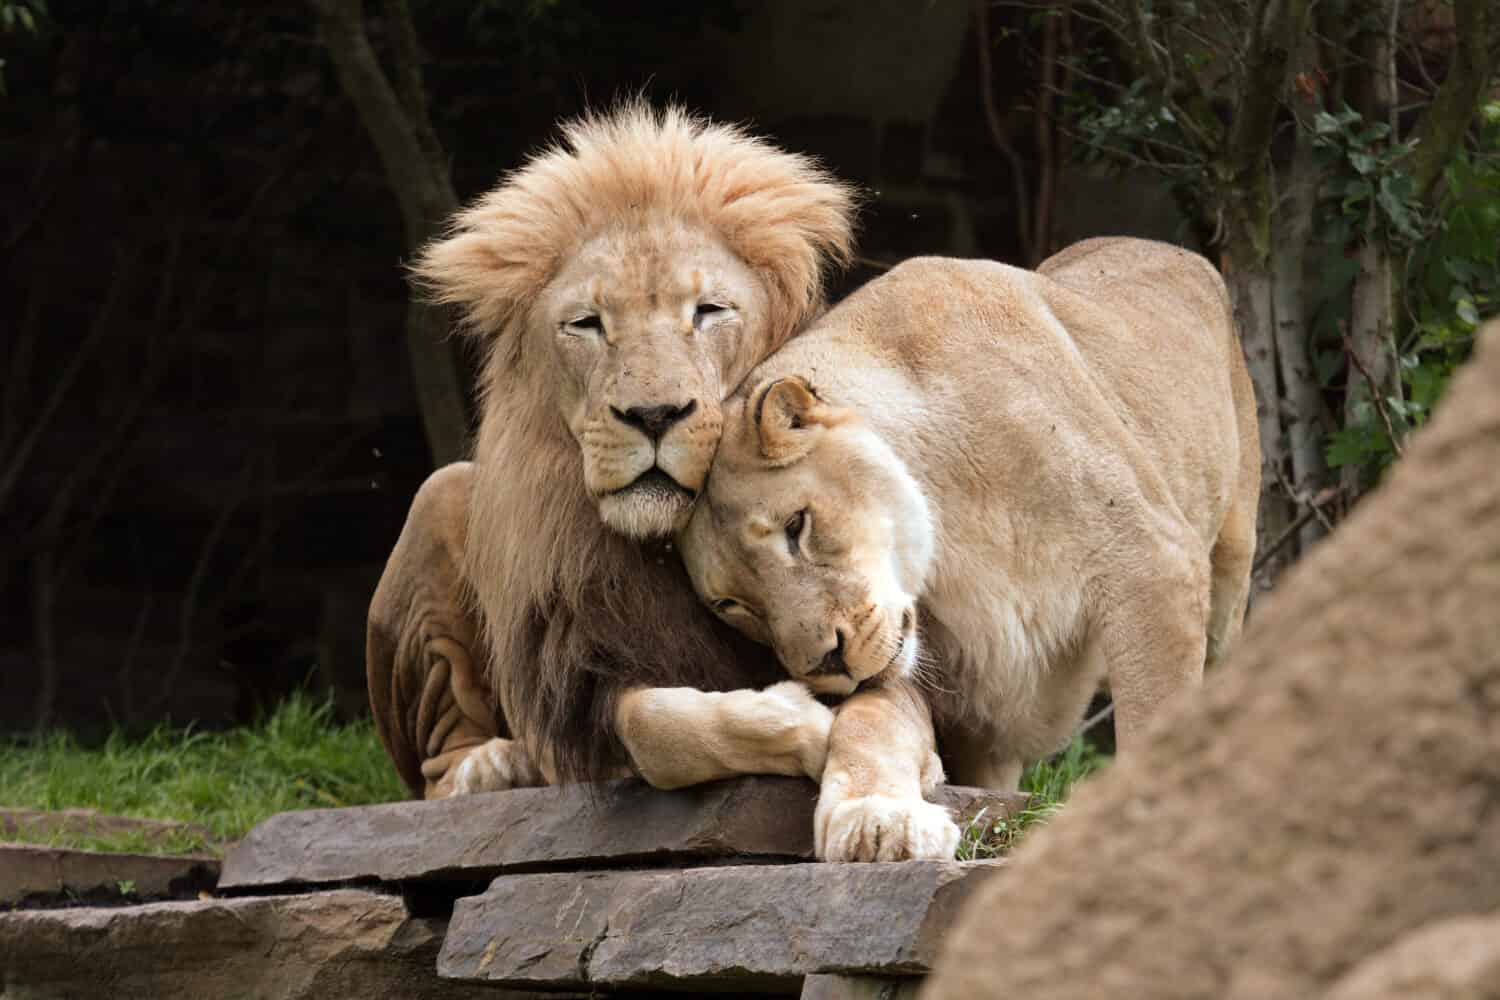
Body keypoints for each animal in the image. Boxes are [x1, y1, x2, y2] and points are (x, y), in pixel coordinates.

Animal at [366, 105, 858, 797]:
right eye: (587, 323)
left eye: (709, 311)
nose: (653, 415)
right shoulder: (586, 680)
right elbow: (656, 726)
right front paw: (807, 725)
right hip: (439, 495)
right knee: (438, 765)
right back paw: (494, 767)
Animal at [687, 239, 1260, 863]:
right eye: (733, 606)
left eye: (798, 526)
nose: (825, 663)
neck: (953, 526)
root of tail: (1171, 248)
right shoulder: (939, 678)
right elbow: (870, 723)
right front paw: (873, 820)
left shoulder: (1151, 560)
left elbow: (1156, 714)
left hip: (1231, 567)